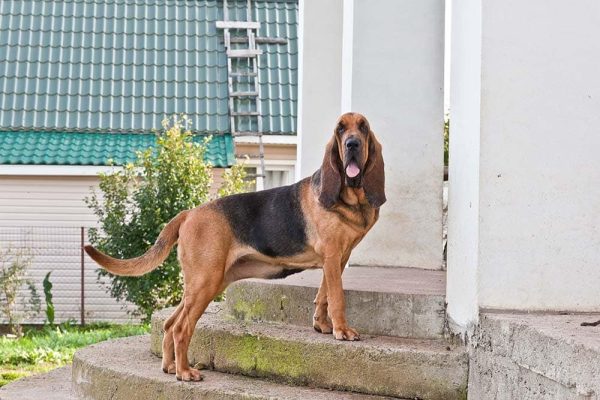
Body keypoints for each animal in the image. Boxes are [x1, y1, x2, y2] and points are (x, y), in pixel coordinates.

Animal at [83, 111, 384, 382]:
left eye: (363, 127)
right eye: (340, 129)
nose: (352, 145)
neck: (350, 195)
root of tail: (188, 214)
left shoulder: (336, 261)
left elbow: (323, 295)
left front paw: (322, 325)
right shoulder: (332, 257)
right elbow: (338, 298)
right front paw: (342, 331)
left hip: (204, 285)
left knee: (169, 324)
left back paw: (170, 367)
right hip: (206, 282)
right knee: (181, 328)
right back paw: (185, 372)